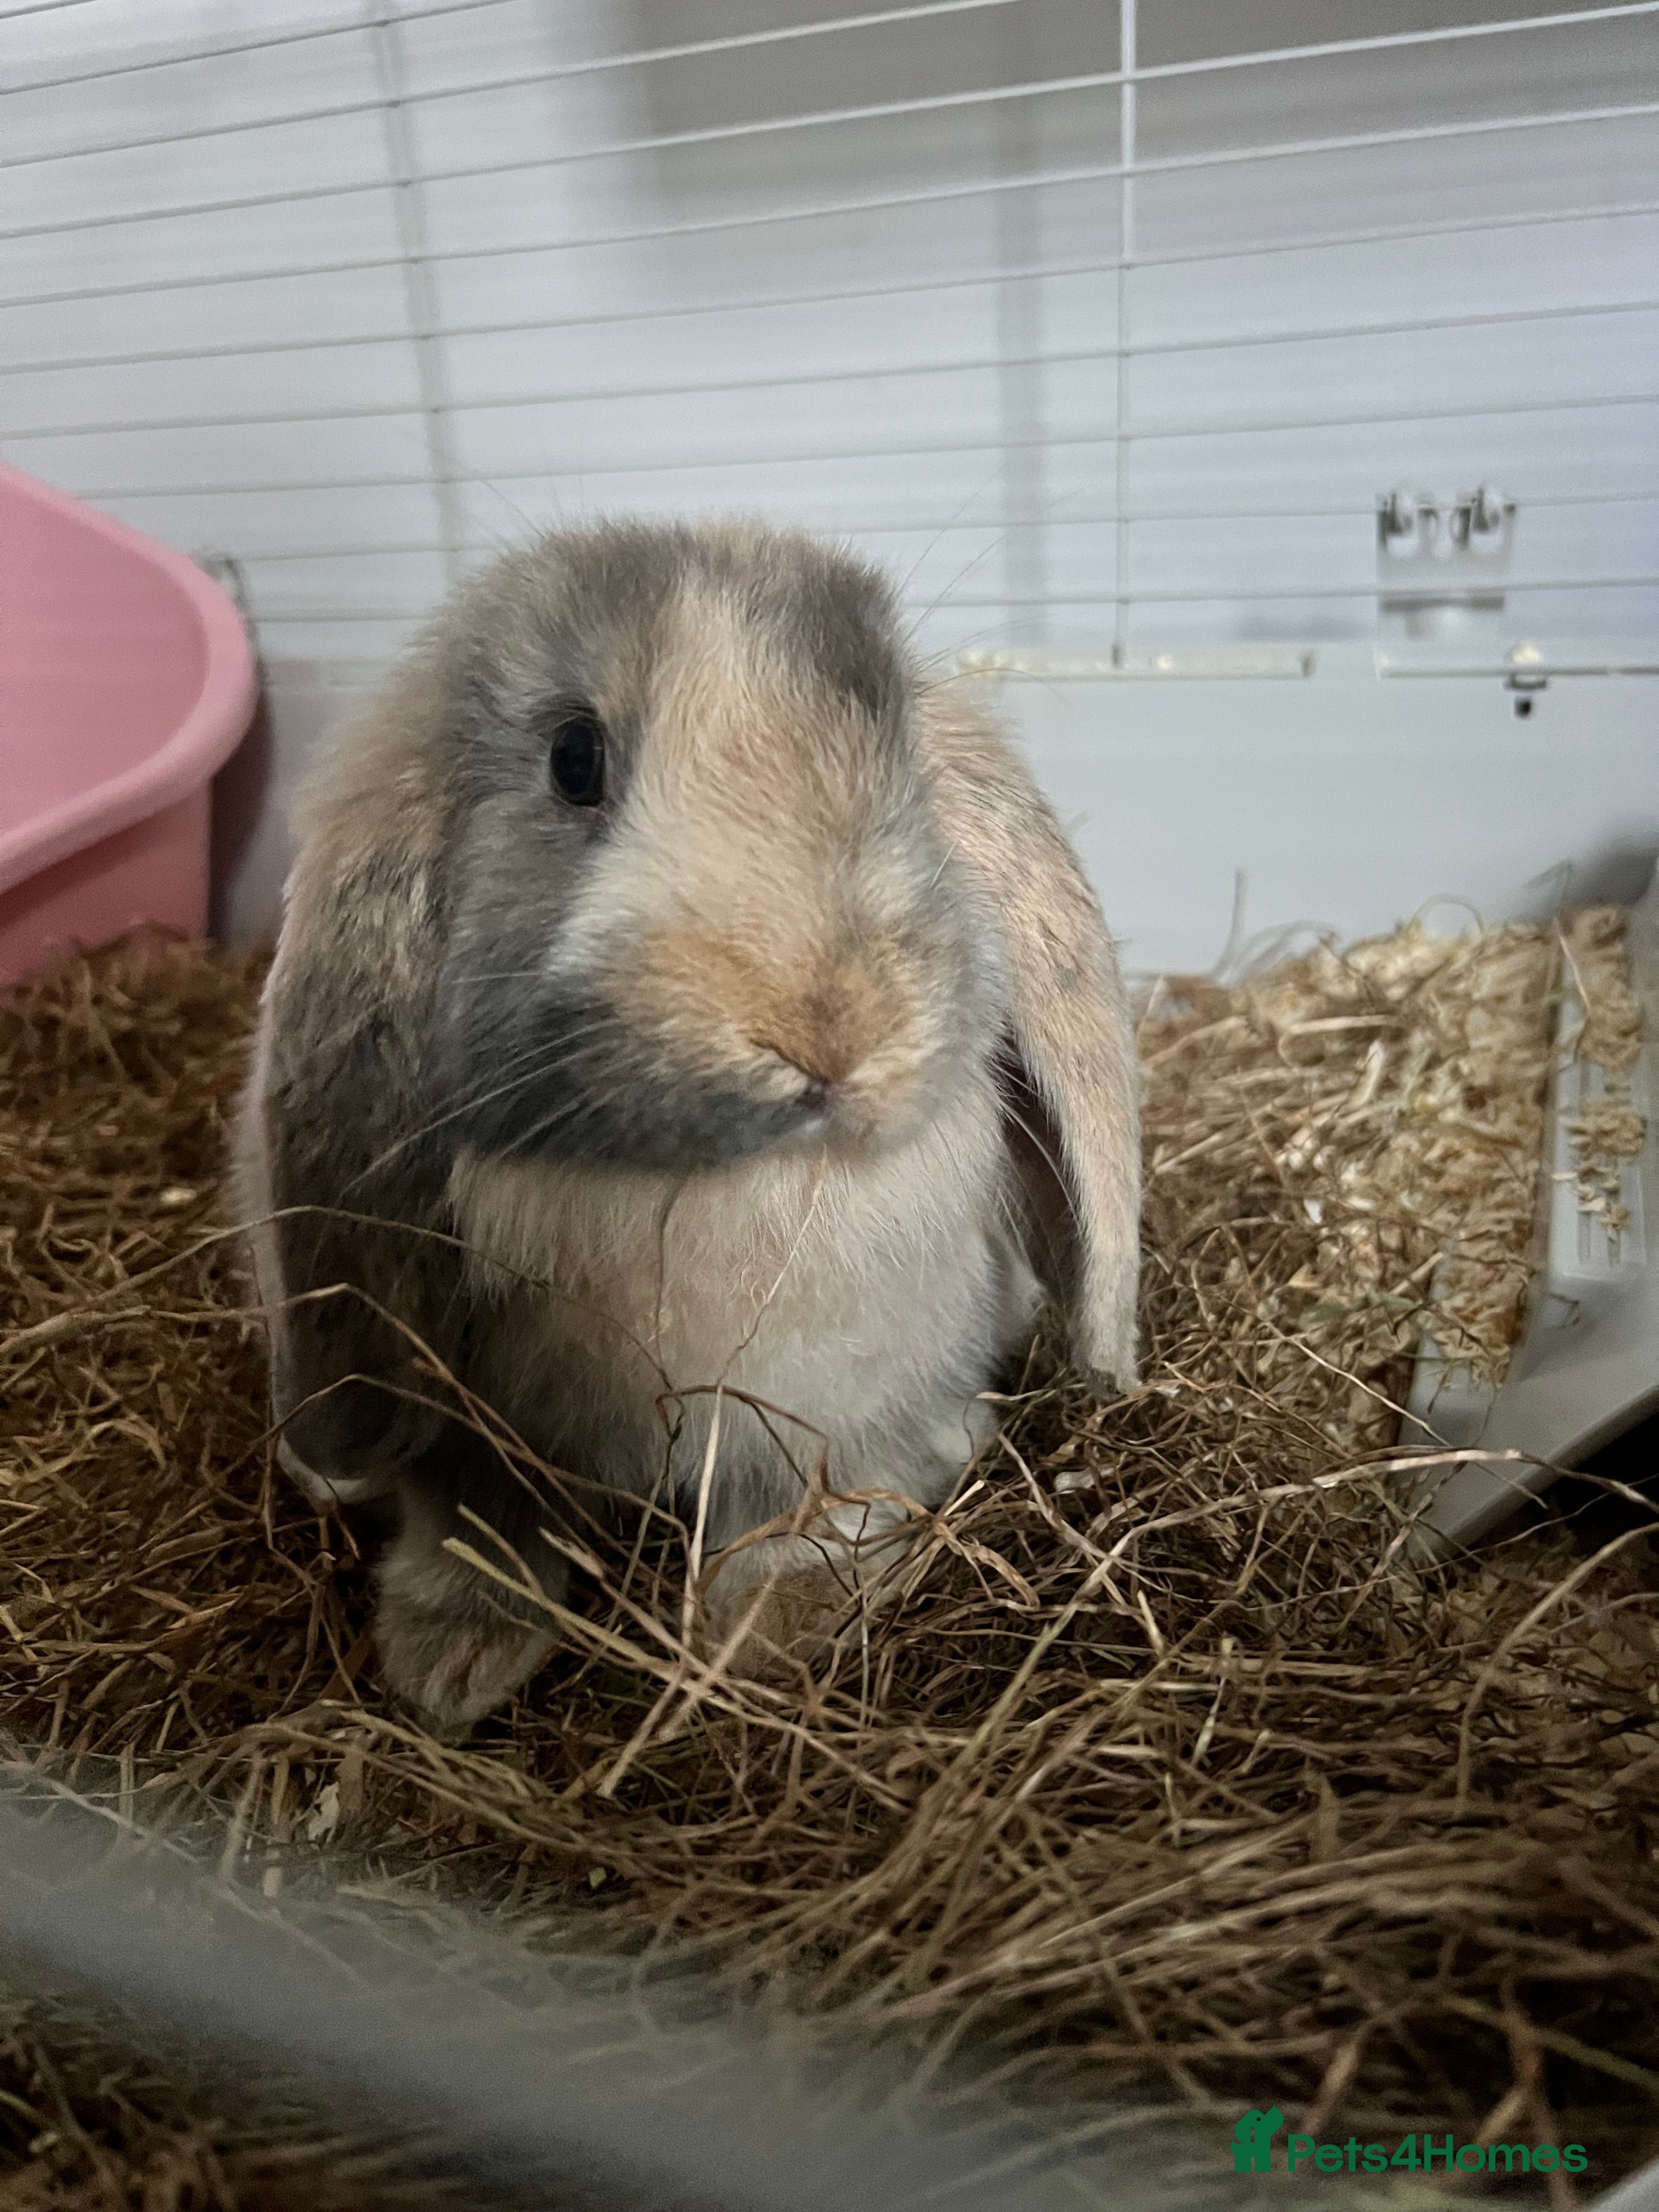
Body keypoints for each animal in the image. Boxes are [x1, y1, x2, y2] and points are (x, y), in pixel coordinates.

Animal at [233, 520, 1140, 1735]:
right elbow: (475, 1512)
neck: (708, 1178)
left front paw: (754, 1641)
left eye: (898, 758)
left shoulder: (831, 1415)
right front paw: (446, 1670)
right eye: (574, 760)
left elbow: (819, 1504)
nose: (827, 1026)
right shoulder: (477, 1423)